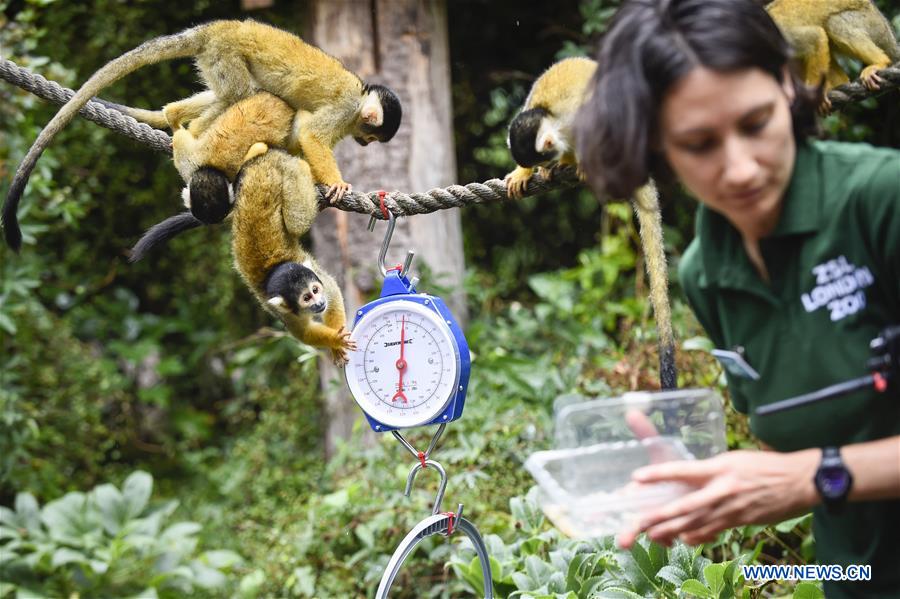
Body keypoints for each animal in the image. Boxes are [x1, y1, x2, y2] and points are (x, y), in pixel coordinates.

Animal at [0, 19, 400, 251]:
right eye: (370, 135)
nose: (365, 142)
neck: (360, 96)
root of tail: (216, 28)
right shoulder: (345, 108)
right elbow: (310, 133)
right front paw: (337, 184)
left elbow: (303, 131)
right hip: (225, 53)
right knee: (238, 93)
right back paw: (189, 129)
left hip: (214, 57)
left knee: (230, 95)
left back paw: (173, 115)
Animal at [506, 57, 676, 390]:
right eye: (538, 160)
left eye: (545, 154)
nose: (545, 164)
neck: (556, 121)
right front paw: (524, 172)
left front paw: (578, 163)